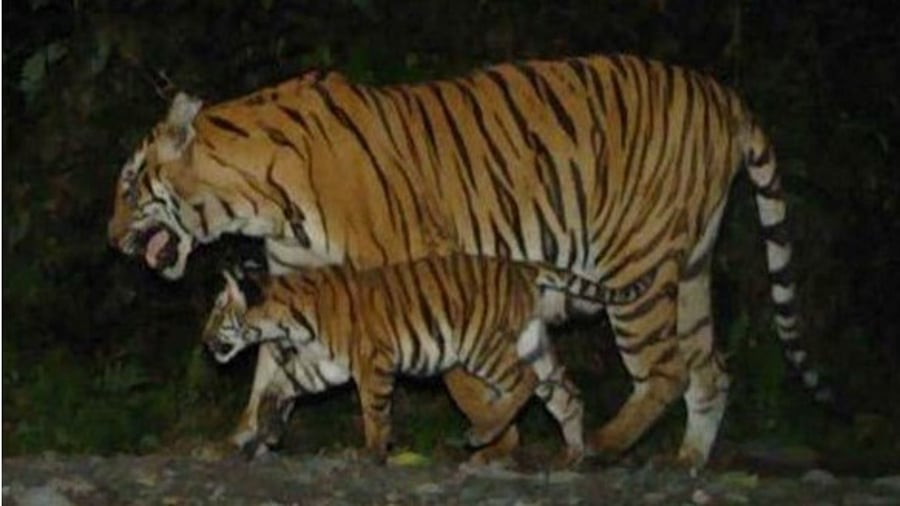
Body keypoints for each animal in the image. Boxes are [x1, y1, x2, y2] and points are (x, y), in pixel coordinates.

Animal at [200, 254, 645, 466]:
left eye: (219, 312)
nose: (204, 341)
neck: (288, 320)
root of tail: (522, 266)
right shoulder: (324, 366)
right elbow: (278, 388)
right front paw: (269, 431)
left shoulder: (372, 363)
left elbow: (374, 412)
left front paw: (372, 453)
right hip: (533, 344)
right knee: (566, 395)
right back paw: (571, 455)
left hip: (483, 347)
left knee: (523, 382)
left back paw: (481, 433)